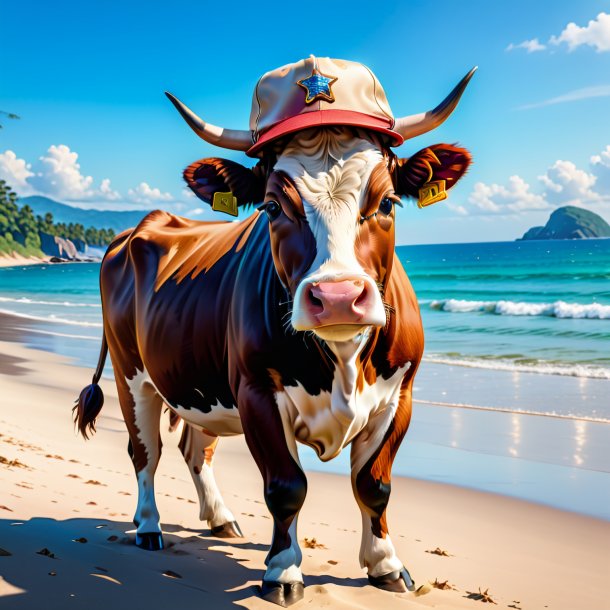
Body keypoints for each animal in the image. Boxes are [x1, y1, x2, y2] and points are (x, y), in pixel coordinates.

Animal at [76, 55, 472, 604]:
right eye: (272, 207)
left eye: (388, 202)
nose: (338, 297)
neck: (343, 364)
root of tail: (145, 225)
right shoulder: (256, 390)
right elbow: (287, 486)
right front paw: (283, 571)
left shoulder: (400, 395)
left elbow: (374, 484)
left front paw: (385, 565)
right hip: (130, 372)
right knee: (144, 451)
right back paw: (149, 526)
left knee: (194, 449)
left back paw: (221, 520)